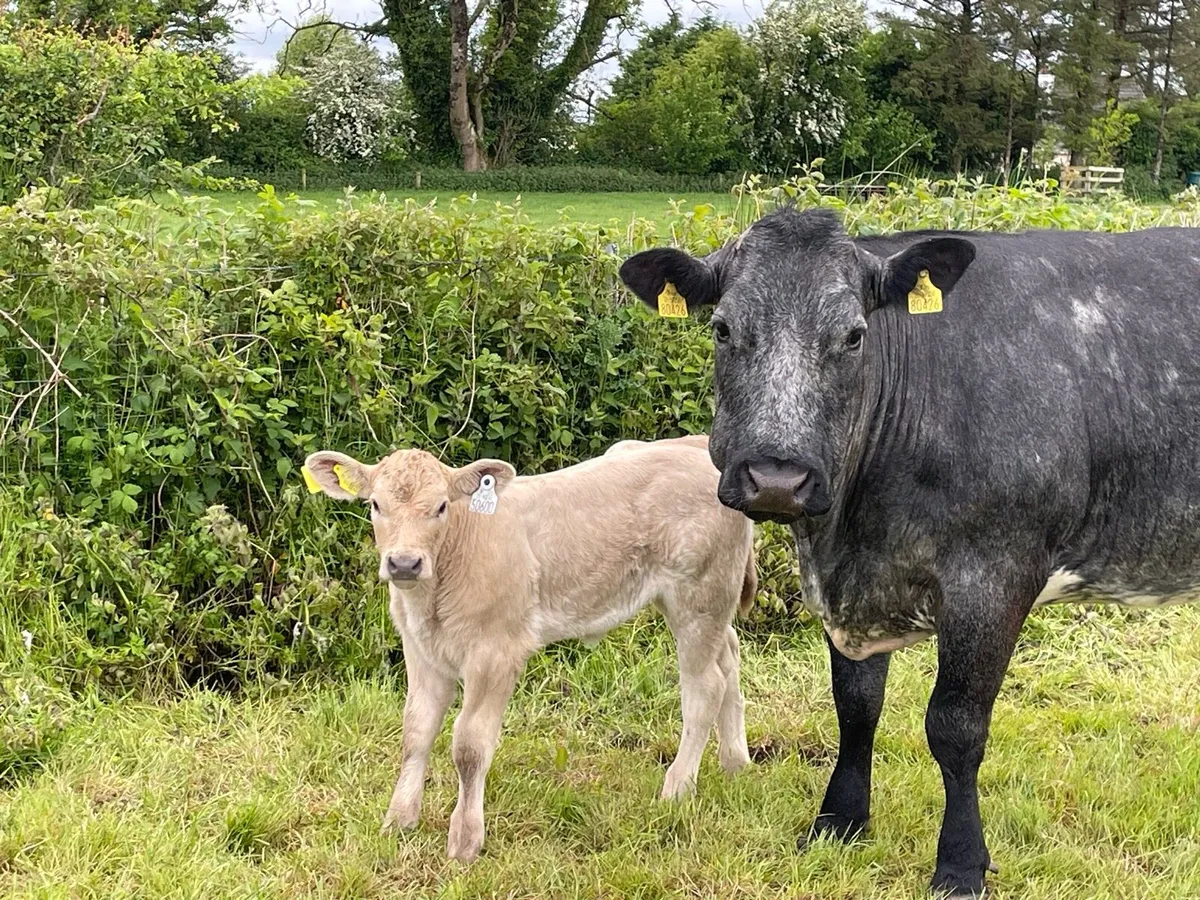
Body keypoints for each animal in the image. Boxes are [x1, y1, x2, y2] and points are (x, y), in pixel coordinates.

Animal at [302, 437, 757, 863]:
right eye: (375, 505)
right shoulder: (421, 651)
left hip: (699, 595)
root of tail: (694, 446)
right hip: (701, 604)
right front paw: (399, 820)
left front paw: (465, 840)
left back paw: (677, 788)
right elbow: (415, 732)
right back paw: (735, 762)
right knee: (730, 658)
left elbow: (469, 745)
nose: (404, 563)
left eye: (441, 506)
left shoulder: (496, 652)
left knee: (705, 686)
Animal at [619, 207, 1200, 897]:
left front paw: (961, 862)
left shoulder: (995, 577)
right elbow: (855, 706)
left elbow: (955, 726)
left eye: (853, 336)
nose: (778, 479)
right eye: (722, 328)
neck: (855, 532)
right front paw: (839, 822)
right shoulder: (854, 590)